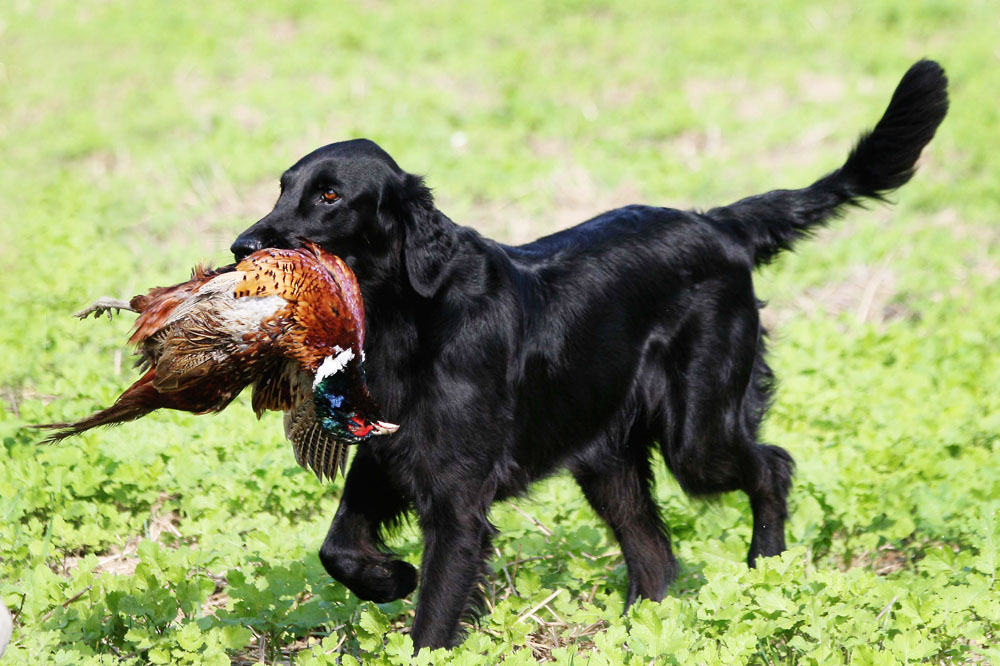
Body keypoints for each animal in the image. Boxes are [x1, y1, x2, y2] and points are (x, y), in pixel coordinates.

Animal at [232, 59, 944, 644]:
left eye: (330, 196)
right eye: (282, 187)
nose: (242, 247)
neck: (408, 319)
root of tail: (718, 224)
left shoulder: (457, 500)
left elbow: (433, 621)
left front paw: (410, 595)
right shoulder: (384, 459)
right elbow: (337, 549)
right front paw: (391, 577)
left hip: (697, 434)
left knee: (773, 466)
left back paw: (764, 566)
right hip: (608, 460)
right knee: (656, 557)